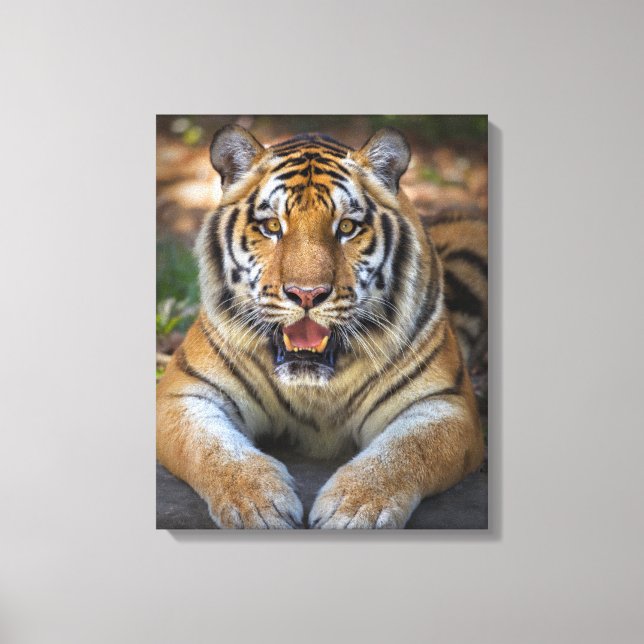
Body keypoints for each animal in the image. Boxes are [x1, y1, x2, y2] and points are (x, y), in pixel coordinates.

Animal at [156, 125, 487, 529]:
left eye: (346, 227)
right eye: (271, 226)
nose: (307, 294)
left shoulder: (445, 404)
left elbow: (405, 453)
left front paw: (355, 510)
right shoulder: (186, 392)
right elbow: (214, 450)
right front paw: (258, 506)